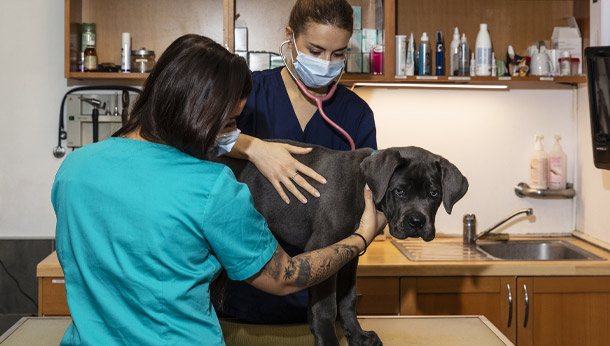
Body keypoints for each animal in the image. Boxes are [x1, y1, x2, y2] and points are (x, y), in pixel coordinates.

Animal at [213, 141, 466, 346]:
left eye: (433, 194)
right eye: (400, 191)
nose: (416, 222)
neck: (363, 185)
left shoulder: (347, 254)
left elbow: (347, 299)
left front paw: (358, 335)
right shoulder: (322, 250)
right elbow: (327, 305)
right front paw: (327, 339)